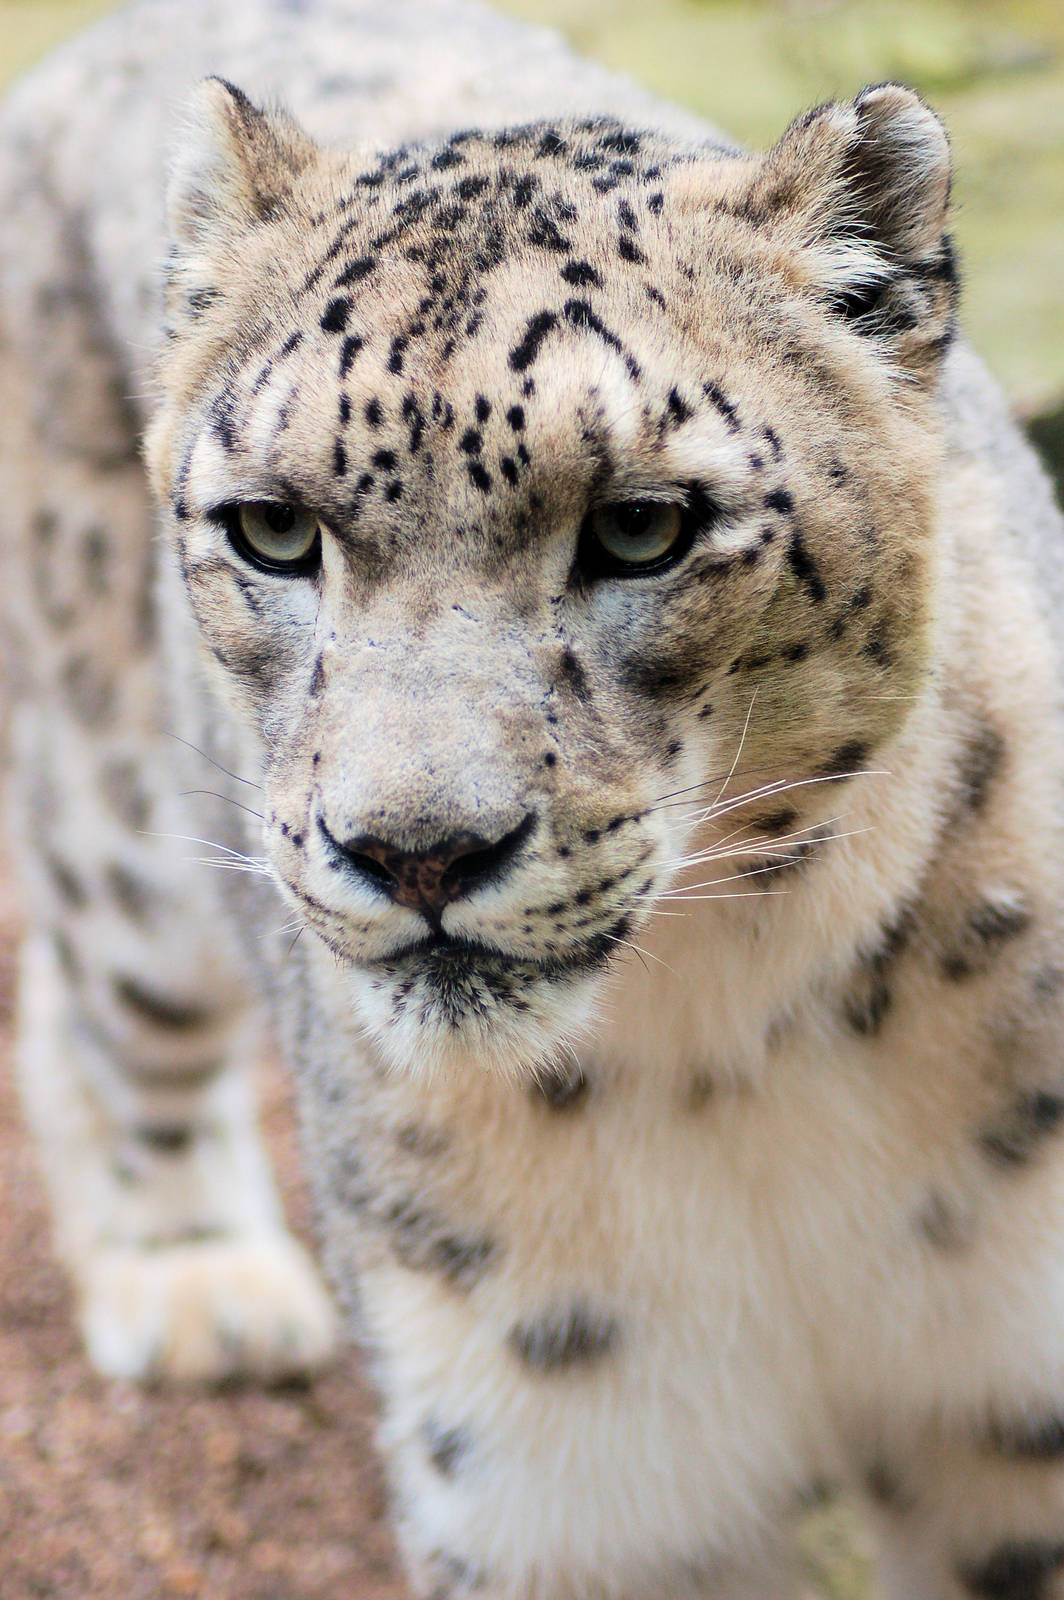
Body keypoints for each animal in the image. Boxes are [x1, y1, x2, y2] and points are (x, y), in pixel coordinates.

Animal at [4, 0, 1064, 1596]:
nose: (416, 851)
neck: (731, 1050)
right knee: (95, 989)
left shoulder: (1011, 1413)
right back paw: (194, 1281)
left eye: (641, 526)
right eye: (272, 529)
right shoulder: (560, 1474)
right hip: (111, 819)